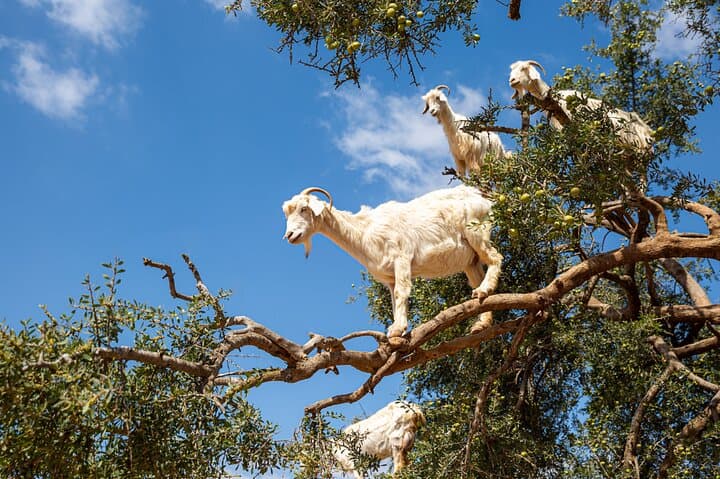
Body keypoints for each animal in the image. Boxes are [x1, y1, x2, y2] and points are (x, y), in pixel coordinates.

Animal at [282, 186, 502, 343]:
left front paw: (397, 329)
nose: (290, 236)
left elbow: (401, 293)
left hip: (477, 233)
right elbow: (394, 301)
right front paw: (396, 331)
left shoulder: (402, 259)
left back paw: (484, 290)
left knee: (496, 257)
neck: (364, 231)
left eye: (304, 209)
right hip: (470, 260)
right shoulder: (389, 277)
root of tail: (484, 200)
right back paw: (482, 322)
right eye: (287, 213)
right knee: (478, 277)